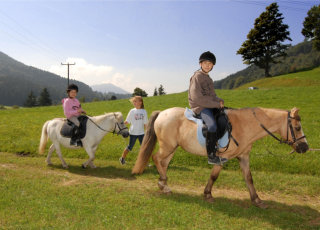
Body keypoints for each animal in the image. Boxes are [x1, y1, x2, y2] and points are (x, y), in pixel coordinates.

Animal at [131, 107, 308, 208]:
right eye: (297, 127)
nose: (305, 147)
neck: (244, 125)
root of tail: (162, 113)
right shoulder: (222, 157)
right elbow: (214, 176)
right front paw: (208, 194)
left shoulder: (243, 157)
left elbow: (249, 178)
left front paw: (257, 200)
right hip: (167, 146)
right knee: (156, 158)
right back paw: (163, 184)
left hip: (172, 148)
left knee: (163, 163)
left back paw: (164, 185)